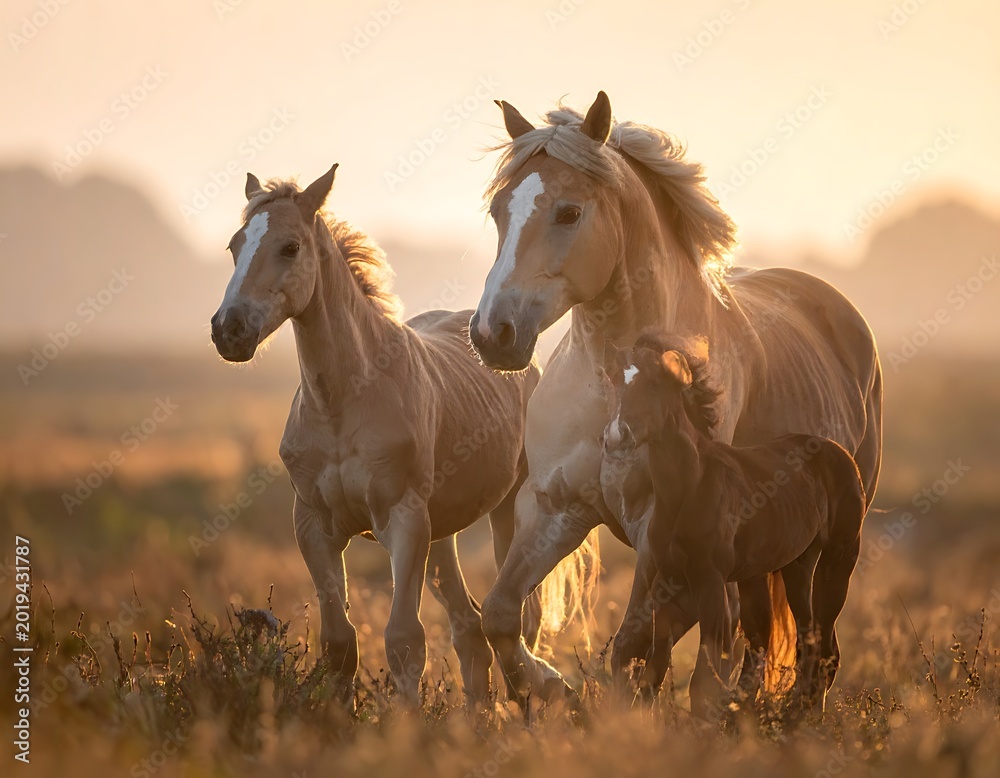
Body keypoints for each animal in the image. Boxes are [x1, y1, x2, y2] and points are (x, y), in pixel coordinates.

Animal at [209, 164, 541, 708]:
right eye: (236, 245)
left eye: (290, 247)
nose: (229, 330)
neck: (343, 404)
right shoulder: (314, 527)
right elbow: (339, 643)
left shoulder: (404, 522)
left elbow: (404, 641)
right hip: (441, 534)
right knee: (470, 629)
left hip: (508, 512)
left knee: (521, 622)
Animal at [603, 334, 865, 716]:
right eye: (613, 384)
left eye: (652, 385)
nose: (614, 437)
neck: (687, 488)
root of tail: (838, 451)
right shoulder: (668, 581)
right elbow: (655, 670)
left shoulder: (711, 581)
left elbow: (704, 679)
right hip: (795, 565)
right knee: (808, 637)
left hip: (839, 558)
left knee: (825, 642)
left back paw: (805, 714)